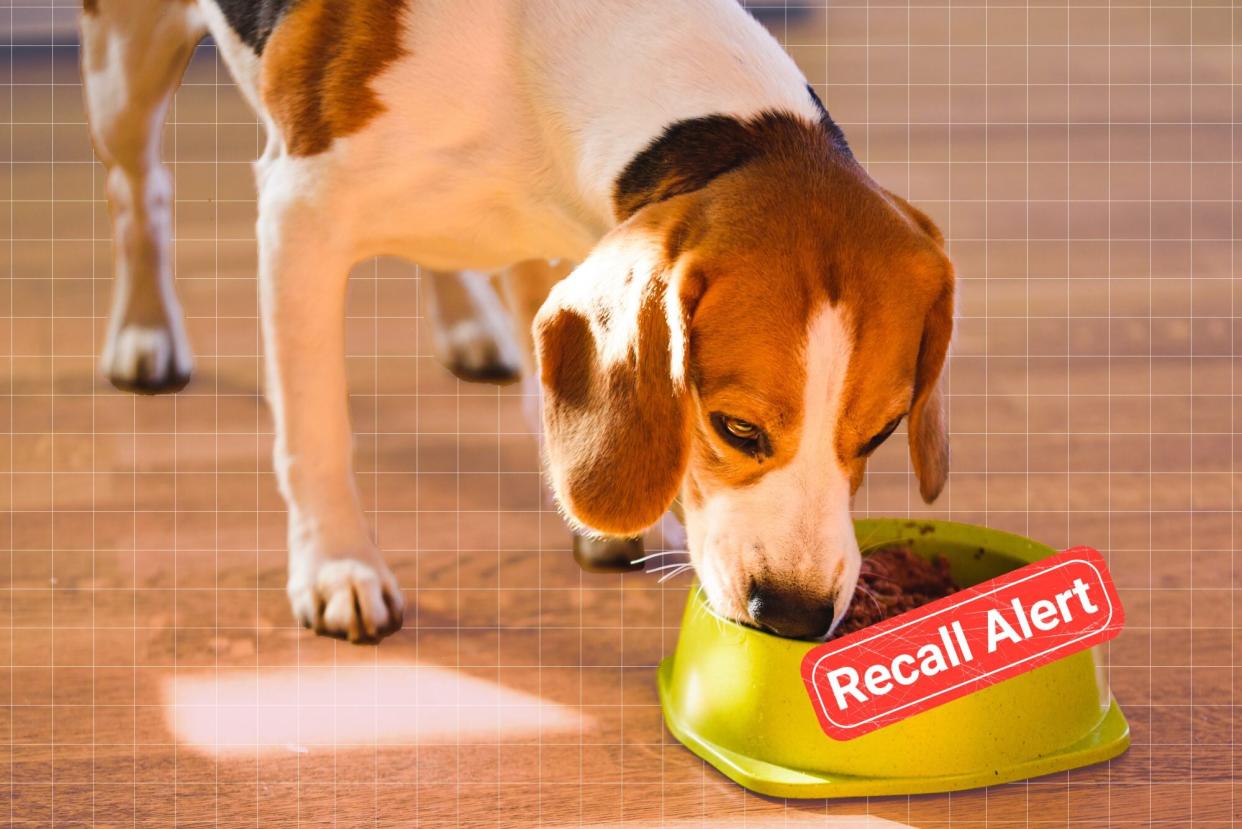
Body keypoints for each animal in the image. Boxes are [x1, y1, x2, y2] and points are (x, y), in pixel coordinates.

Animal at [82, 0, 953, 646]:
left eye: (880, 434)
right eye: (735, 428)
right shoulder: (300, 216)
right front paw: (336, 565)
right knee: (138, 193)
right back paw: (144, 335)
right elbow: (316, 431)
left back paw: (470, 325)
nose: (797, 615)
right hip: (125, 70)